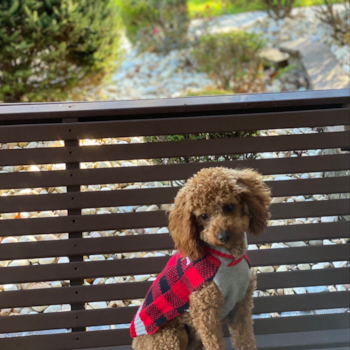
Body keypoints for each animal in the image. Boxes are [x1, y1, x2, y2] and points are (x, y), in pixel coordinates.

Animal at [131, 168, 270, 348]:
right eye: (203, 216)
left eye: (229, 206)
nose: (223, 236)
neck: (229, 258)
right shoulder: (205, 314)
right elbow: (215, 344)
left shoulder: (241, 306)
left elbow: (245, 340)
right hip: (170, 336)